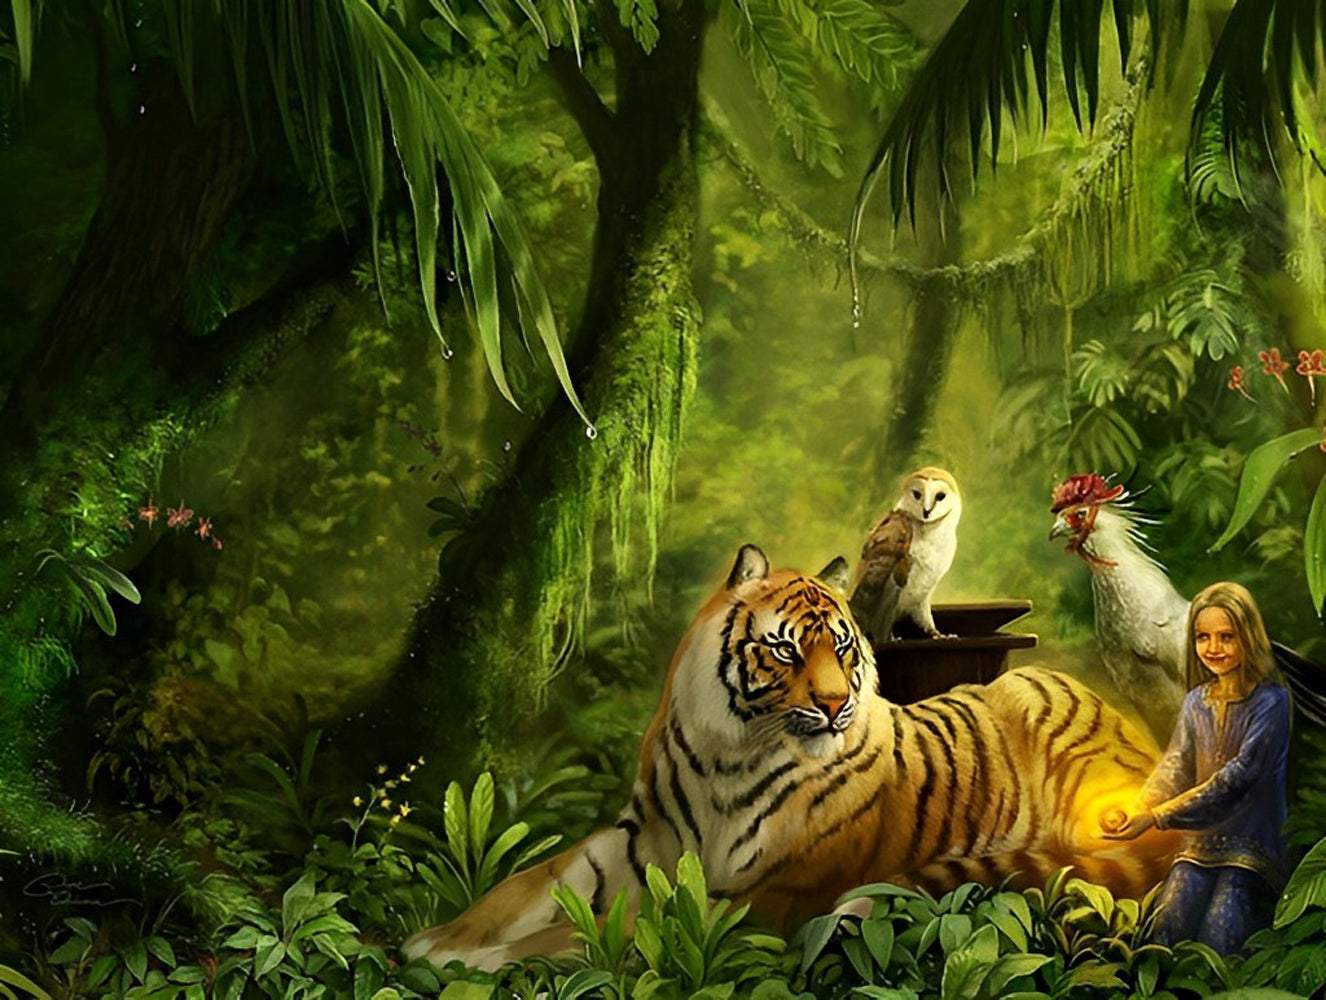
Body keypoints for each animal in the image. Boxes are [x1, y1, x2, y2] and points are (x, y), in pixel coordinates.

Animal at [404, 544, 1180, 971]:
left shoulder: (770, 891)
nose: (835, 705)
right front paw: (435, 942)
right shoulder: (622, 846)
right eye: (784, 648)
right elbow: (513, 892)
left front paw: (489, 961)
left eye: (841, 646)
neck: (728, 752)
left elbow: (609, 925)